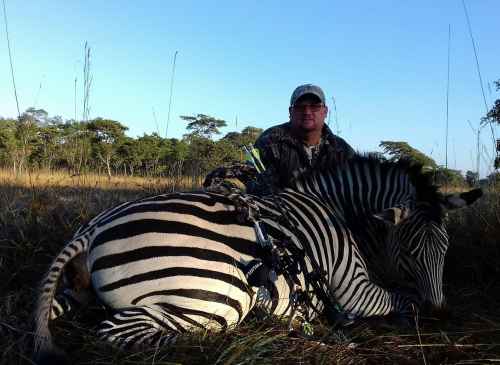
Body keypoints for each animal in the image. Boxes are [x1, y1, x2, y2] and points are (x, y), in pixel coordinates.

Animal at [34, 154, 480, 362]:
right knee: (122, 331)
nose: (442, 314)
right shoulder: (354, 289)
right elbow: (404, 299)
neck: (339, 212)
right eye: (408, 249)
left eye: (445, 247)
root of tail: (94, 229)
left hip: (76, 292)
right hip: (219, 297)